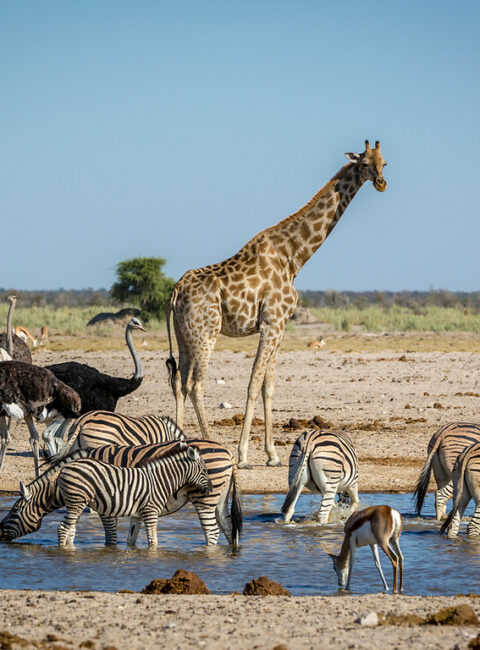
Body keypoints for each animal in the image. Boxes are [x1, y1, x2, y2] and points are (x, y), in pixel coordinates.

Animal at [0, 436, 240, 548]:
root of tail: (228, 451)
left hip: (205, 498)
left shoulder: (107, 505)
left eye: (14, 510)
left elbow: (111, 537)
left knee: (212, 532)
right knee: (229, 527)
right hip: (219, 499)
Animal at [166, 140, 386, 466]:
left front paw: (272, 454)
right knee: (195, 384)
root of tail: (176, 290)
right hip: (206, 332)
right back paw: (212, 444)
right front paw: (244, 454)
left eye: (384, 162)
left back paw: (179, 444)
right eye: (364, 164)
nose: (382, 182)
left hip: (184, 336)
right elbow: (253, 382)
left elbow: (268, 386)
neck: (294, 256)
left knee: (179, 382)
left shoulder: (279, 326)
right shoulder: (271, 323)